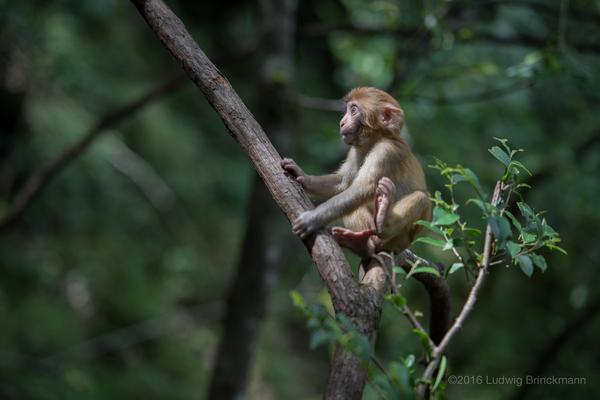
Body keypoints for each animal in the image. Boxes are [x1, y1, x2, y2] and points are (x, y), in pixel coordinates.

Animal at [282, 87, 432, 260]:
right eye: (348, 109)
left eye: (353, 110)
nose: (341, 122)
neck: (375, 140)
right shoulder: (355, 150)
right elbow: (343, 183)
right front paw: (301, 175)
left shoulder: (386, 151)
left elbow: (363, 187)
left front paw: (312, 219)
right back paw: (360, 245)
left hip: (399, 241)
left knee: (422, 198)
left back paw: (380, 225)